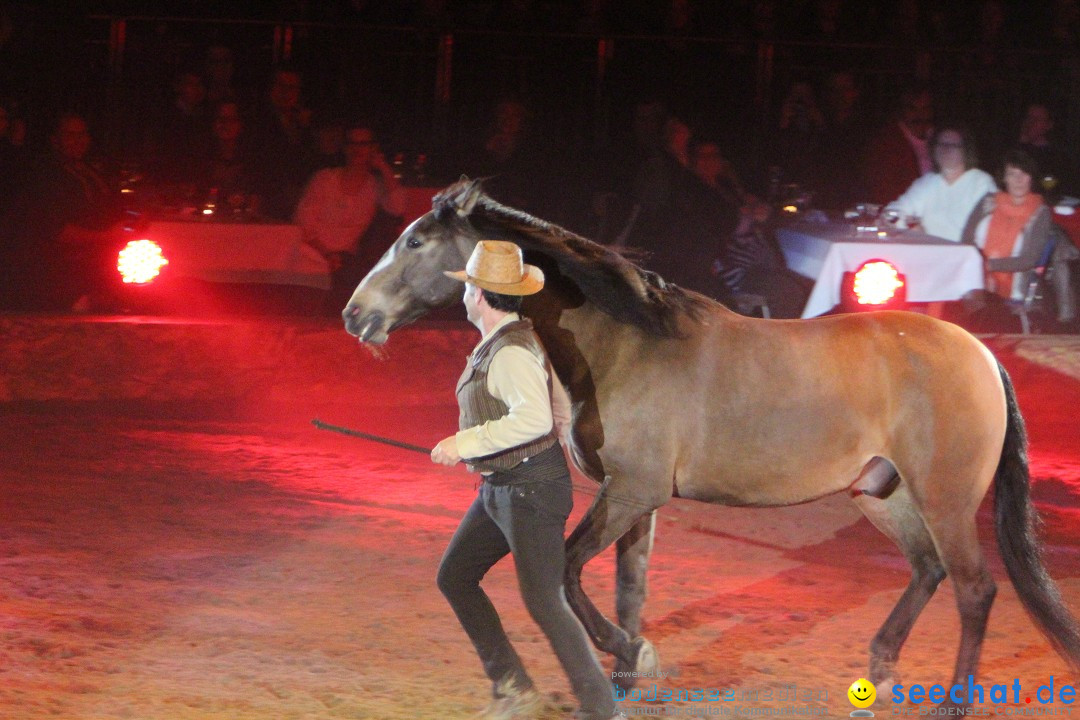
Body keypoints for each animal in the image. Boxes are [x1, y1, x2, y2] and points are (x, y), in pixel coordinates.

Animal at [343, 179, 1080, 703]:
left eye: (415, 243)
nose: (356, 314)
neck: (629, 343)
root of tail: (984, 357)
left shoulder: (632, 493)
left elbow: (569, 574)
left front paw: (635, 657)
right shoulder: (637, 502)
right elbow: (626, 590)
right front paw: (625, 673)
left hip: (945, 498)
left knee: (975, 589)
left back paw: (951, 702)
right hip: (881, 492)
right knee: (927, 570)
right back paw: (879, 670)